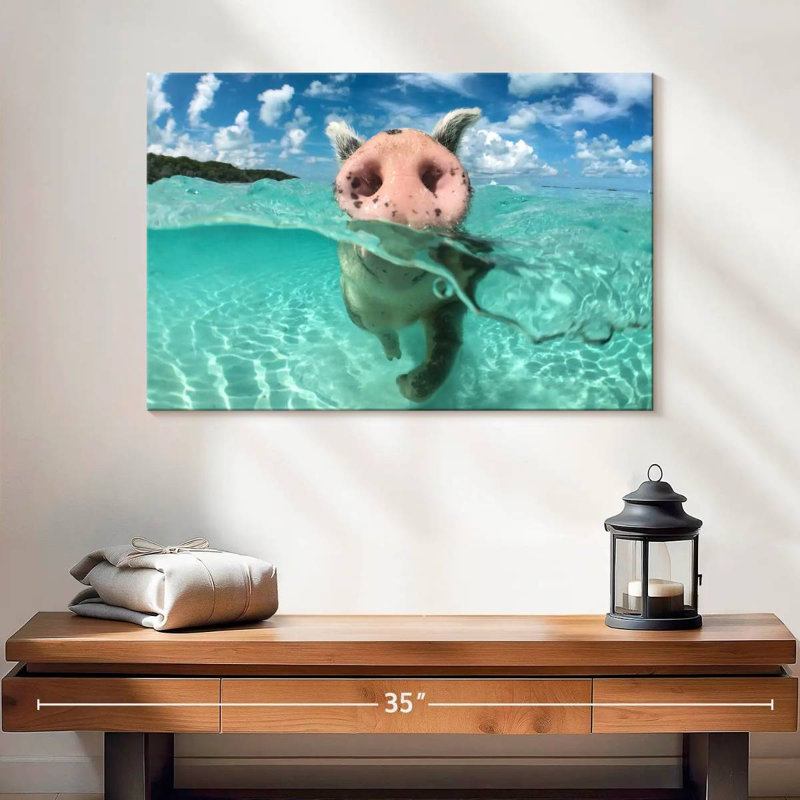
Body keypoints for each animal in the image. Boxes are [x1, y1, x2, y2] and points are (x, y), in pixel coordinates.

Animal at [326, 108, 490, 403]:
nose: (401, 142)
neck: (402, 306)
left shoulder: (451, 298)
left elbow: (446, 346)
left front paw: (402, 383)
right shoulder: (353, 301)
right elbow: (380, 331)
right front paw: (395, 359)